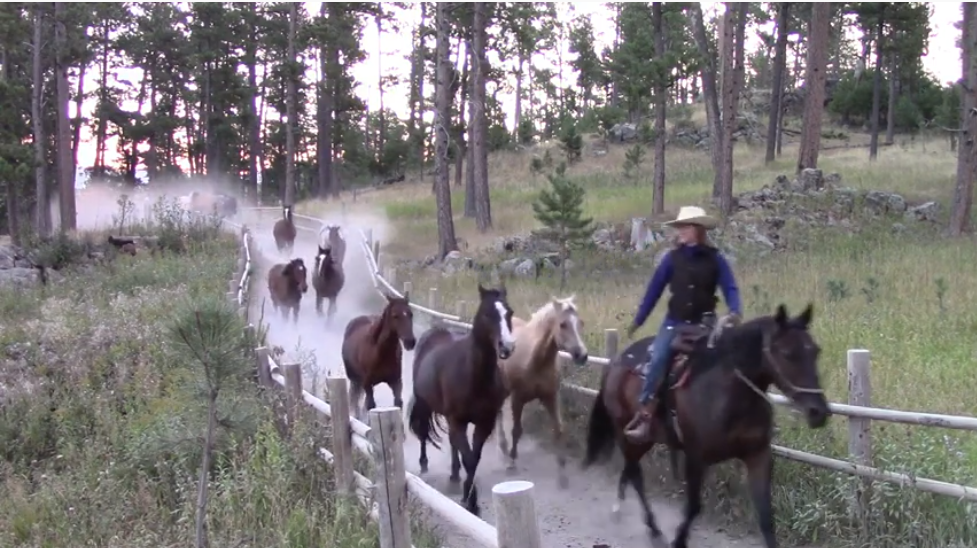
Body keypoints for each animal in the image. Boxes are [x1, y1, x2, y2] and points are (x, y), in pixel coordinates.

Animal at [408, 284, 520, 516]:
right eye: (487, 314)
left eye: (509, 312)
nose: (506, 347)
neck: (473, 376)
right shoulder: (457, 420)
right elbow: (469, 458)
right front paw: (471, 501)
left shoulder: (484, 423)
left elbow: (473, 459)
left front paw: (468, 496)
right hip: (426, 406)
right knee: (423, 433)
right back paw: (424, 464)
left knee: (453, 444)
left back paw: (454, 475)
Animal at [496, 296, 588, 488]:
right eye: (563, 324)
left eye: (580, 323)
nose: (582, 355)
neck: (535, 360)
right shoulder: (517, 399)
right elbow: (516, 430)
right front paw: (512, 463)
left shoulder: (551, 397)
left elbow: (558, 431)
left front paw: (562, 475)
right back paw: (504, 447)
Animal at [584, 304, 828, 548]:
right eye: (787, 354)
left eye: (816, 351)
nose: (819, 412)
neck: (729, 396)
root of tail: (617, 361)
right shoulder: (695, 458)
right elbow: (693, 507)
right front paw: (678, 540)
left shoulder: (759, 455)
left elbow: (766, 516)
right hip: (626, 432)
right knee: (635, 474)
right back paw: (653, 529)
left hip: (645, 439)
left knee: (630, 470)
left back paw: (620, 509)